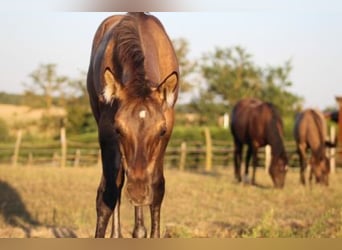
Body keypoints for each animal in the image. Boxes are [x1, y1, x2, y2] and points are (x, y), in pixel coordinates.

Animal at [86, 12, 179, 238]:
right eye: (118, 129)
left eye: (161, 131)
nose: (137, 193)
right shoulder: (107, 135)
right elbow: (108, 194)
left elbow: (157, 188)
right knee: (117, 184)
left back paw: (139, 230)